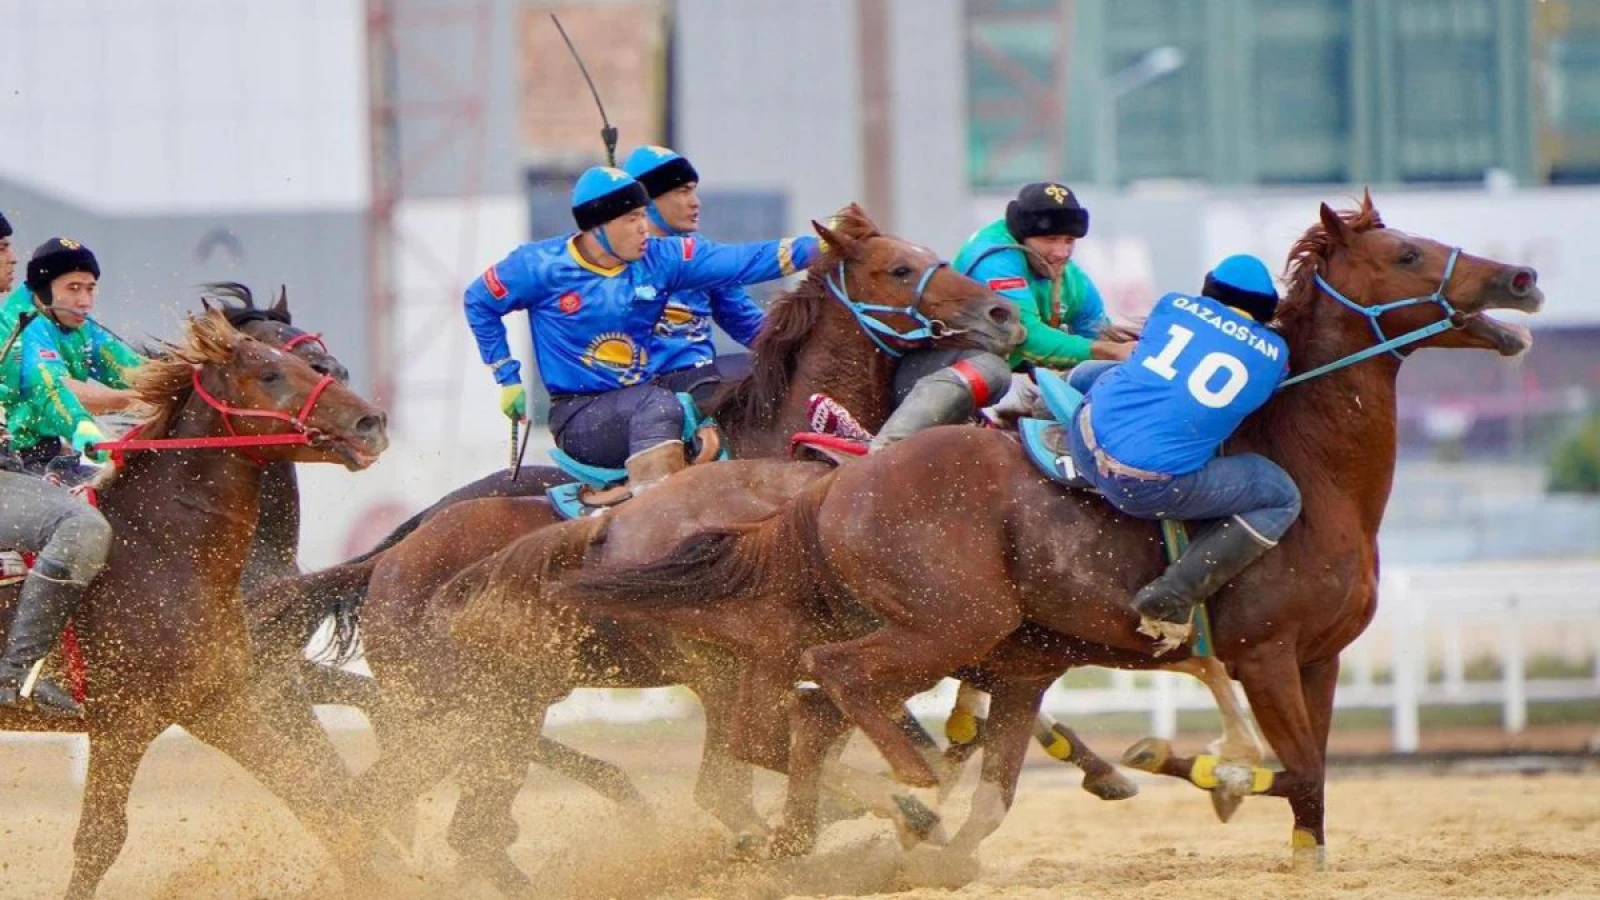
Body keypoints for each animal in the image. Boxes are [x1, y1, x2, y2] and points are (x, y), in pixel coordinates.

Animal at [0, 310, 387, 896]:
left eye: (319, 365)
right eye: (272, 373)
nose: (372, 421)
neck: (159, 549)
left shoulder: (219, 703)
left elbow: (320, 796)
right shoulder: (124, 721)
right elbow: (99, 840)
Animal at [556, 190, 1542, 871]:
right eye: (1408, 252)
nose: (1522, 277)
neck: (1305, 463)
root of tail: (839, 485)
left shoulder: (1316, 659)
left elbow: (1314, 789)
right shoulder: (1262, 655)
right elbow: (1294, 770)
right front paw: (1196, 767)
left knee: (798, 732)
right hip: (932, 626)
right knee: (826, 694)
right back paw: (906, 791)